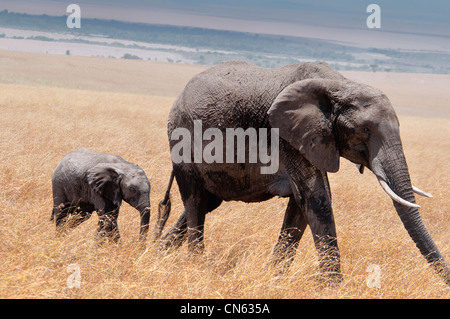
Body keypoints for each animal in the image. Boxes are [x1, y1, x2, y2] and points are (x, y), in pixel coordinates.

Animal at [156, 61, 448, 286]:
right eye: (365, 130)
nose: (445, 283)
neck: (340, 84)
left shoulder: (314, 140)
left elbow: (302, 203)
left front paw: (274, 278)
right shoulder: (288, 136)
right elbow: (316, 197)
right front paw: (333, 288)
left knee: (205, 202)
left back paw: (156, 254)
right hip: (181, 140)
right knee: (195, 201)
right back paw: (194, 266)